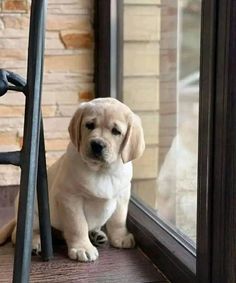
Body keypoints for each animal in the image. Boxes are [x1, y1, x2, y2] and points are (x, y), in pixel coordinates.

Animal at [0, 97, 145, 262]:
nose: (97, 144)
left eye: (116, 131)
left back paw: (96, 235)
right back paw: (34, 243)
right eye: (89, 125)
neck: (102, 171)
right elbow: (77, 225)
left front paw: (120, 237)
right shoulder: (70, 198)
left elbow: (119, 219)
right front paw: (82, 248)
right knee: (22, 233)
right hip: (35, 215)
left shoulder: (122, 195)